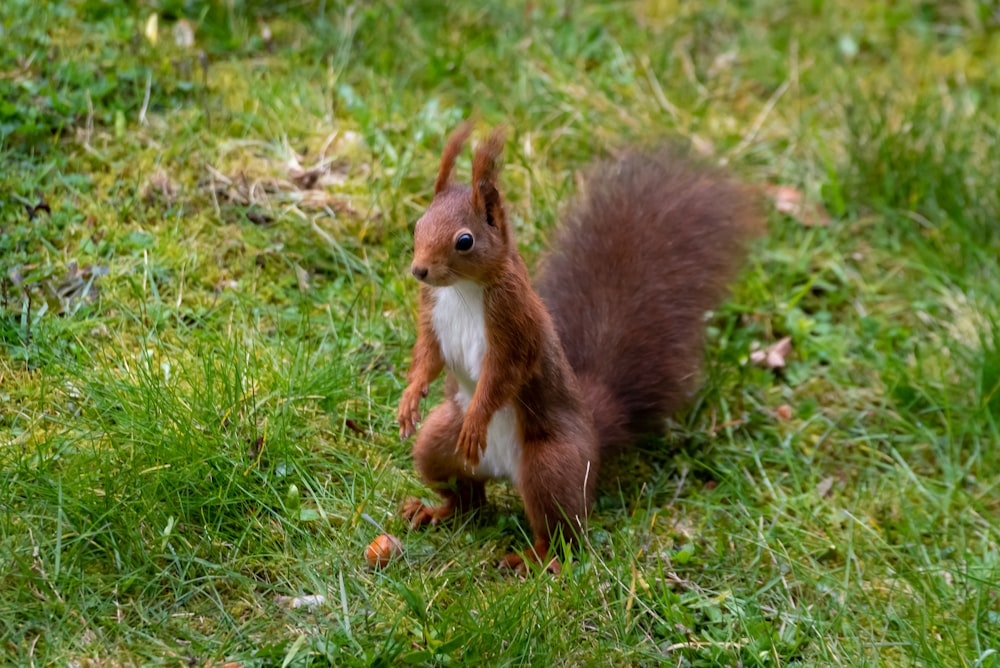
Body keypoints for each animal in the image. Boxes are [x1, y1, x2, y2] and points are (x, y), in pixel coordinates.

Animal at [398, 122, 756, 572]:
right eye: (418, 224)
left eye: (465, 240)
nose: (419, 270)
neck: (462, 290)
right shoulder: (432, 313)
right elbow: (428, 356)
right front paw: (410, 398)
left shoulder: (517, 326)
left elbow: (503, 374)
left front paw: (477, 418)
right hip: (439, 445)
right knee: (468, 498)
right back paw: (436, 511)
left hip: (550, 465)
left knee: (562, 530)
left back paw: (534, 559)